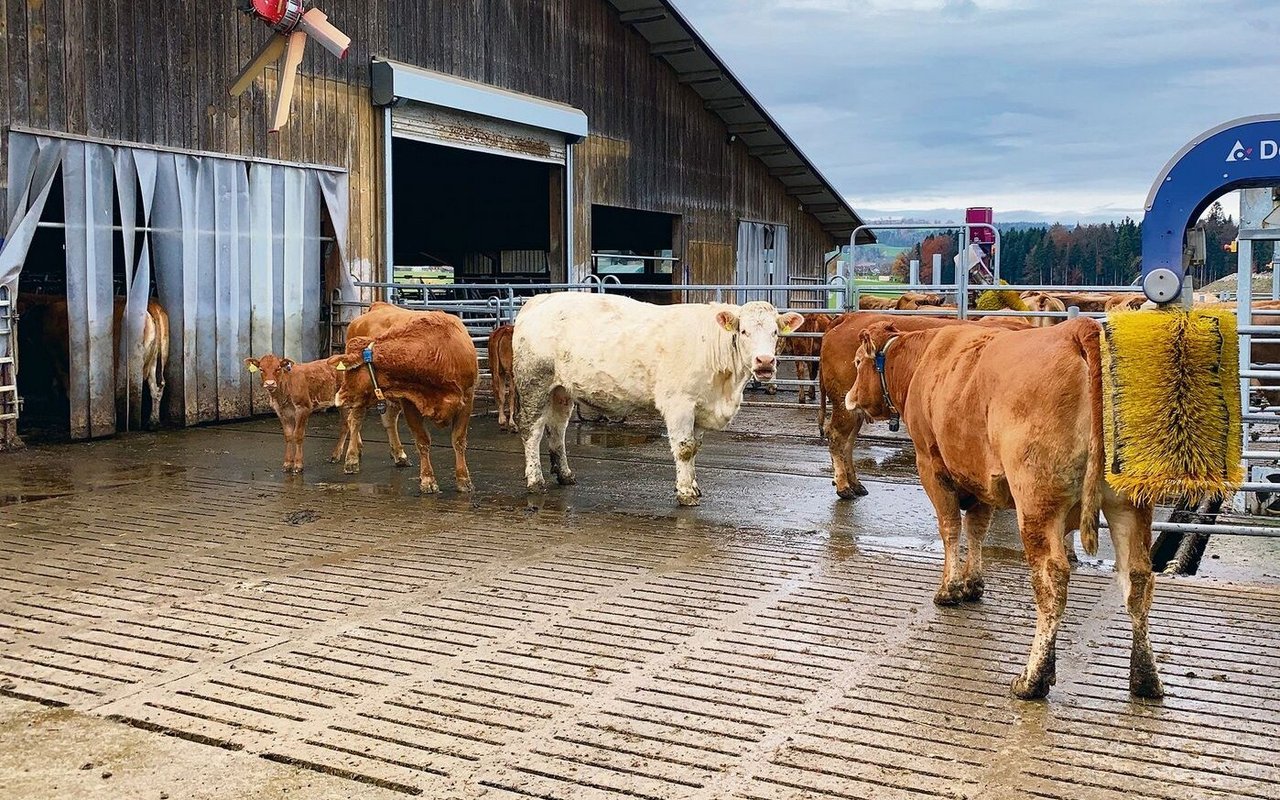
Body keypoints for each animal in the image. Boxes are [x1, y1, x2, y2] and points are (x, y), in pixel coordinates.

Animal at [335, 312, 481, 494]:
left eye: (353, 369)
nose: (339, 397)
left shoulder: (467, 398)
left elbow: (458, 440)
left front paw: (463, 479)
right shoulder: (409, 402)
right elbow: (422, 441)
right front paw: (427, 479)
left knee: (389, 421)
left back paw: (399, 455)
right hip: (362, 399)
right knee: (355, 421)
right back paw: (352, 458)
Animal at [512, 291, 798, 504]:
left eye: (775, 332)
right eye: (744, 331)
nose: (765, 361)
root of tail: (540, 300)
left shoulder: (700, 407)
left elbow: (695, 448)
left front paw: (693, 486)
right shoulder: (680, 404)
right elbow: (684, 449)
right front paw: (685, 493)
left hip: (561, 391)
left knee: (557, 430)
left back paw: (565, 475)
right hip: (534, 383)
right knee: (531, 430)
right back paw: (535, 481)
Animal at [819, 312, 1029, 494]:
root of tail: (850, 316)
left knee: (848, 441)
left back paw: (854, 483)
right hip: (844, 403)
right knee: (837, 436)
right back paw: (843, 486)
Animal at [844, 318, 1167, 696]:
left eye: (857, 363)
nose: (850, 398)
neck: (921, 360)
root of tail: (1076, 328)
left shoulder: (932, 466)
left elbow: (950, 527)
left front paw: (949, 589)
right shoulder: (981, 479)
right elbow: (977, 529)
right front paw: (973, 584)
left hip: (1036, 501)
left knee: (1052, 581)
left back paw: (1033, 679)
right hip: (1130, 503)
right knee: (1138, 577)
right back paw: (1145, 679)